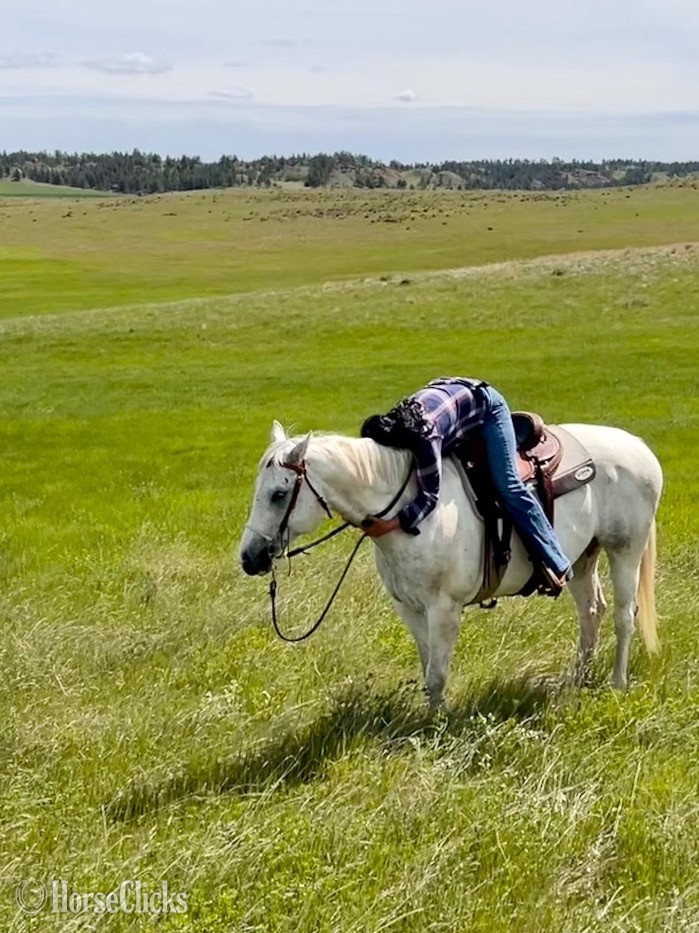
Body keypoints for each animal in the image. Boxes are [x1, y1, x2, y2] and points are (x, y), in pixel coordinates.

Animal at [240, 419, 662, 708]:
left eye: (279, 495)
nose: (248, 557)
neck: (411, 510)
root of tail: (640, 447)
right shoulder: (409, 608)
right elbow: (429, 667)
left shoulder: (444, 609)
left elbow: (438, 674)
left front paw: (436, 726)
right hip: (583, 557)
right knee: (592, 612)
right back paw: (577, 680)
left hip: (625, 549)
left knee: (624, 615)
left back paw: (617, 682)